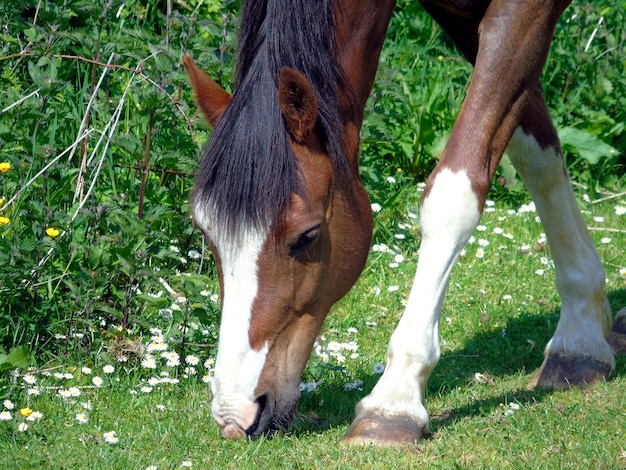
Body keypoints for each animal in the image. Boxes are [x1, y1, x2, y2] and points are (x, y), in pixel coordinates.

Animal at [184, 0, 624, 446]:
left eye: (307, 236)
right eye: (207, 233)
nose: (236, 416)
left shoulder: (523, 13)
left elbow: (453, 196)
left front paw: (394, 401)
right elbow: (537, 153)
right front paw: (582, 336)